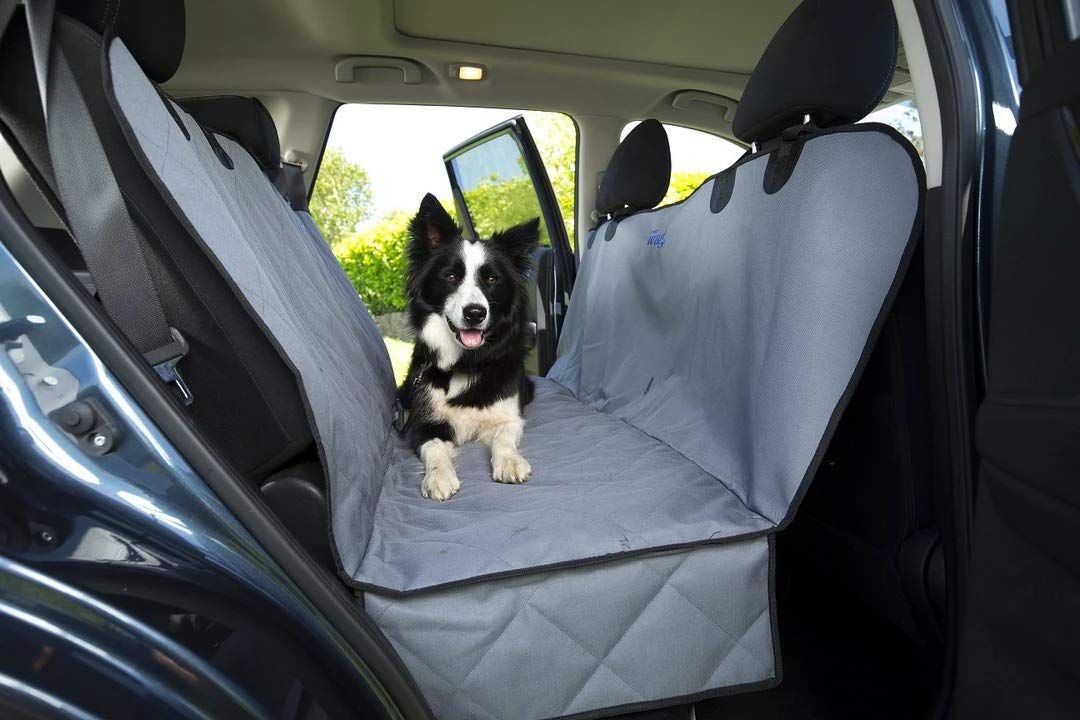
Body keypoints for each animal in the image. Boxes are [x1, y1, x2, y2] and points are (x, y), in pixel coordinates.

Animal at [401, 194, 540, 505]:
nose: (475, 313)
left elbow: (503, 438)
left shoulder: (510, 416)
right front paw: (439, 477)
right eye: (451, 276)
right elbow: (435, 448)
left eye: (492, 280)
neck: (466, 362)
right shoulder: (423, 424)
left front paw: (510, 462)